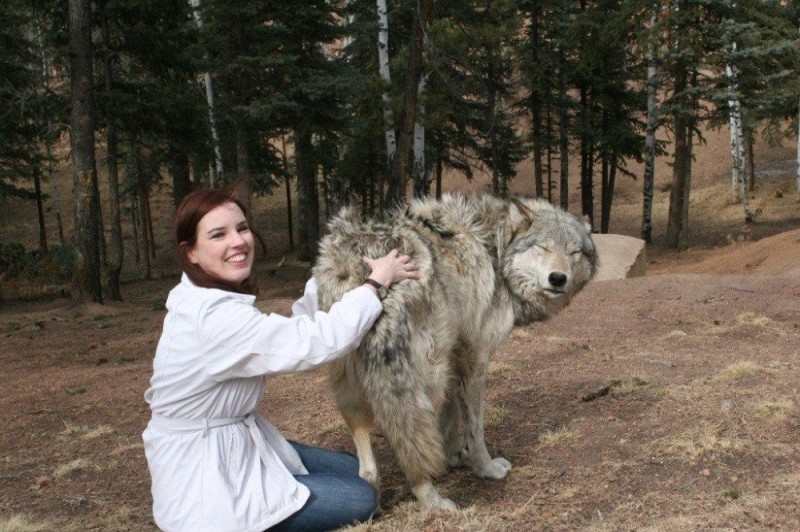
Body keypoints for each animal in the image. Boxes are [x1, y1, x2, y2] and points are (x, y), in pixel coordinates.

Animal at [310, 193, 592, 510]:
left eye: (575, 252)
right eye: (543, 247)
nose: (558, 278)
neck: (496, 252)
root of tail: (354, 260)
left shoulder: (453, 355)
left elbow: (450, 414)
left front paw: (454, 455)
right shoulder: (475, 355)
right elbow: (474, 425)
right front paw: (484, 467)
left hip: (352, 379)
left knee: (368, 457)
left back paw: (372, 497)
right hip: (424, 377)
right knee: (409, 436)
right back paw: (432, 499)